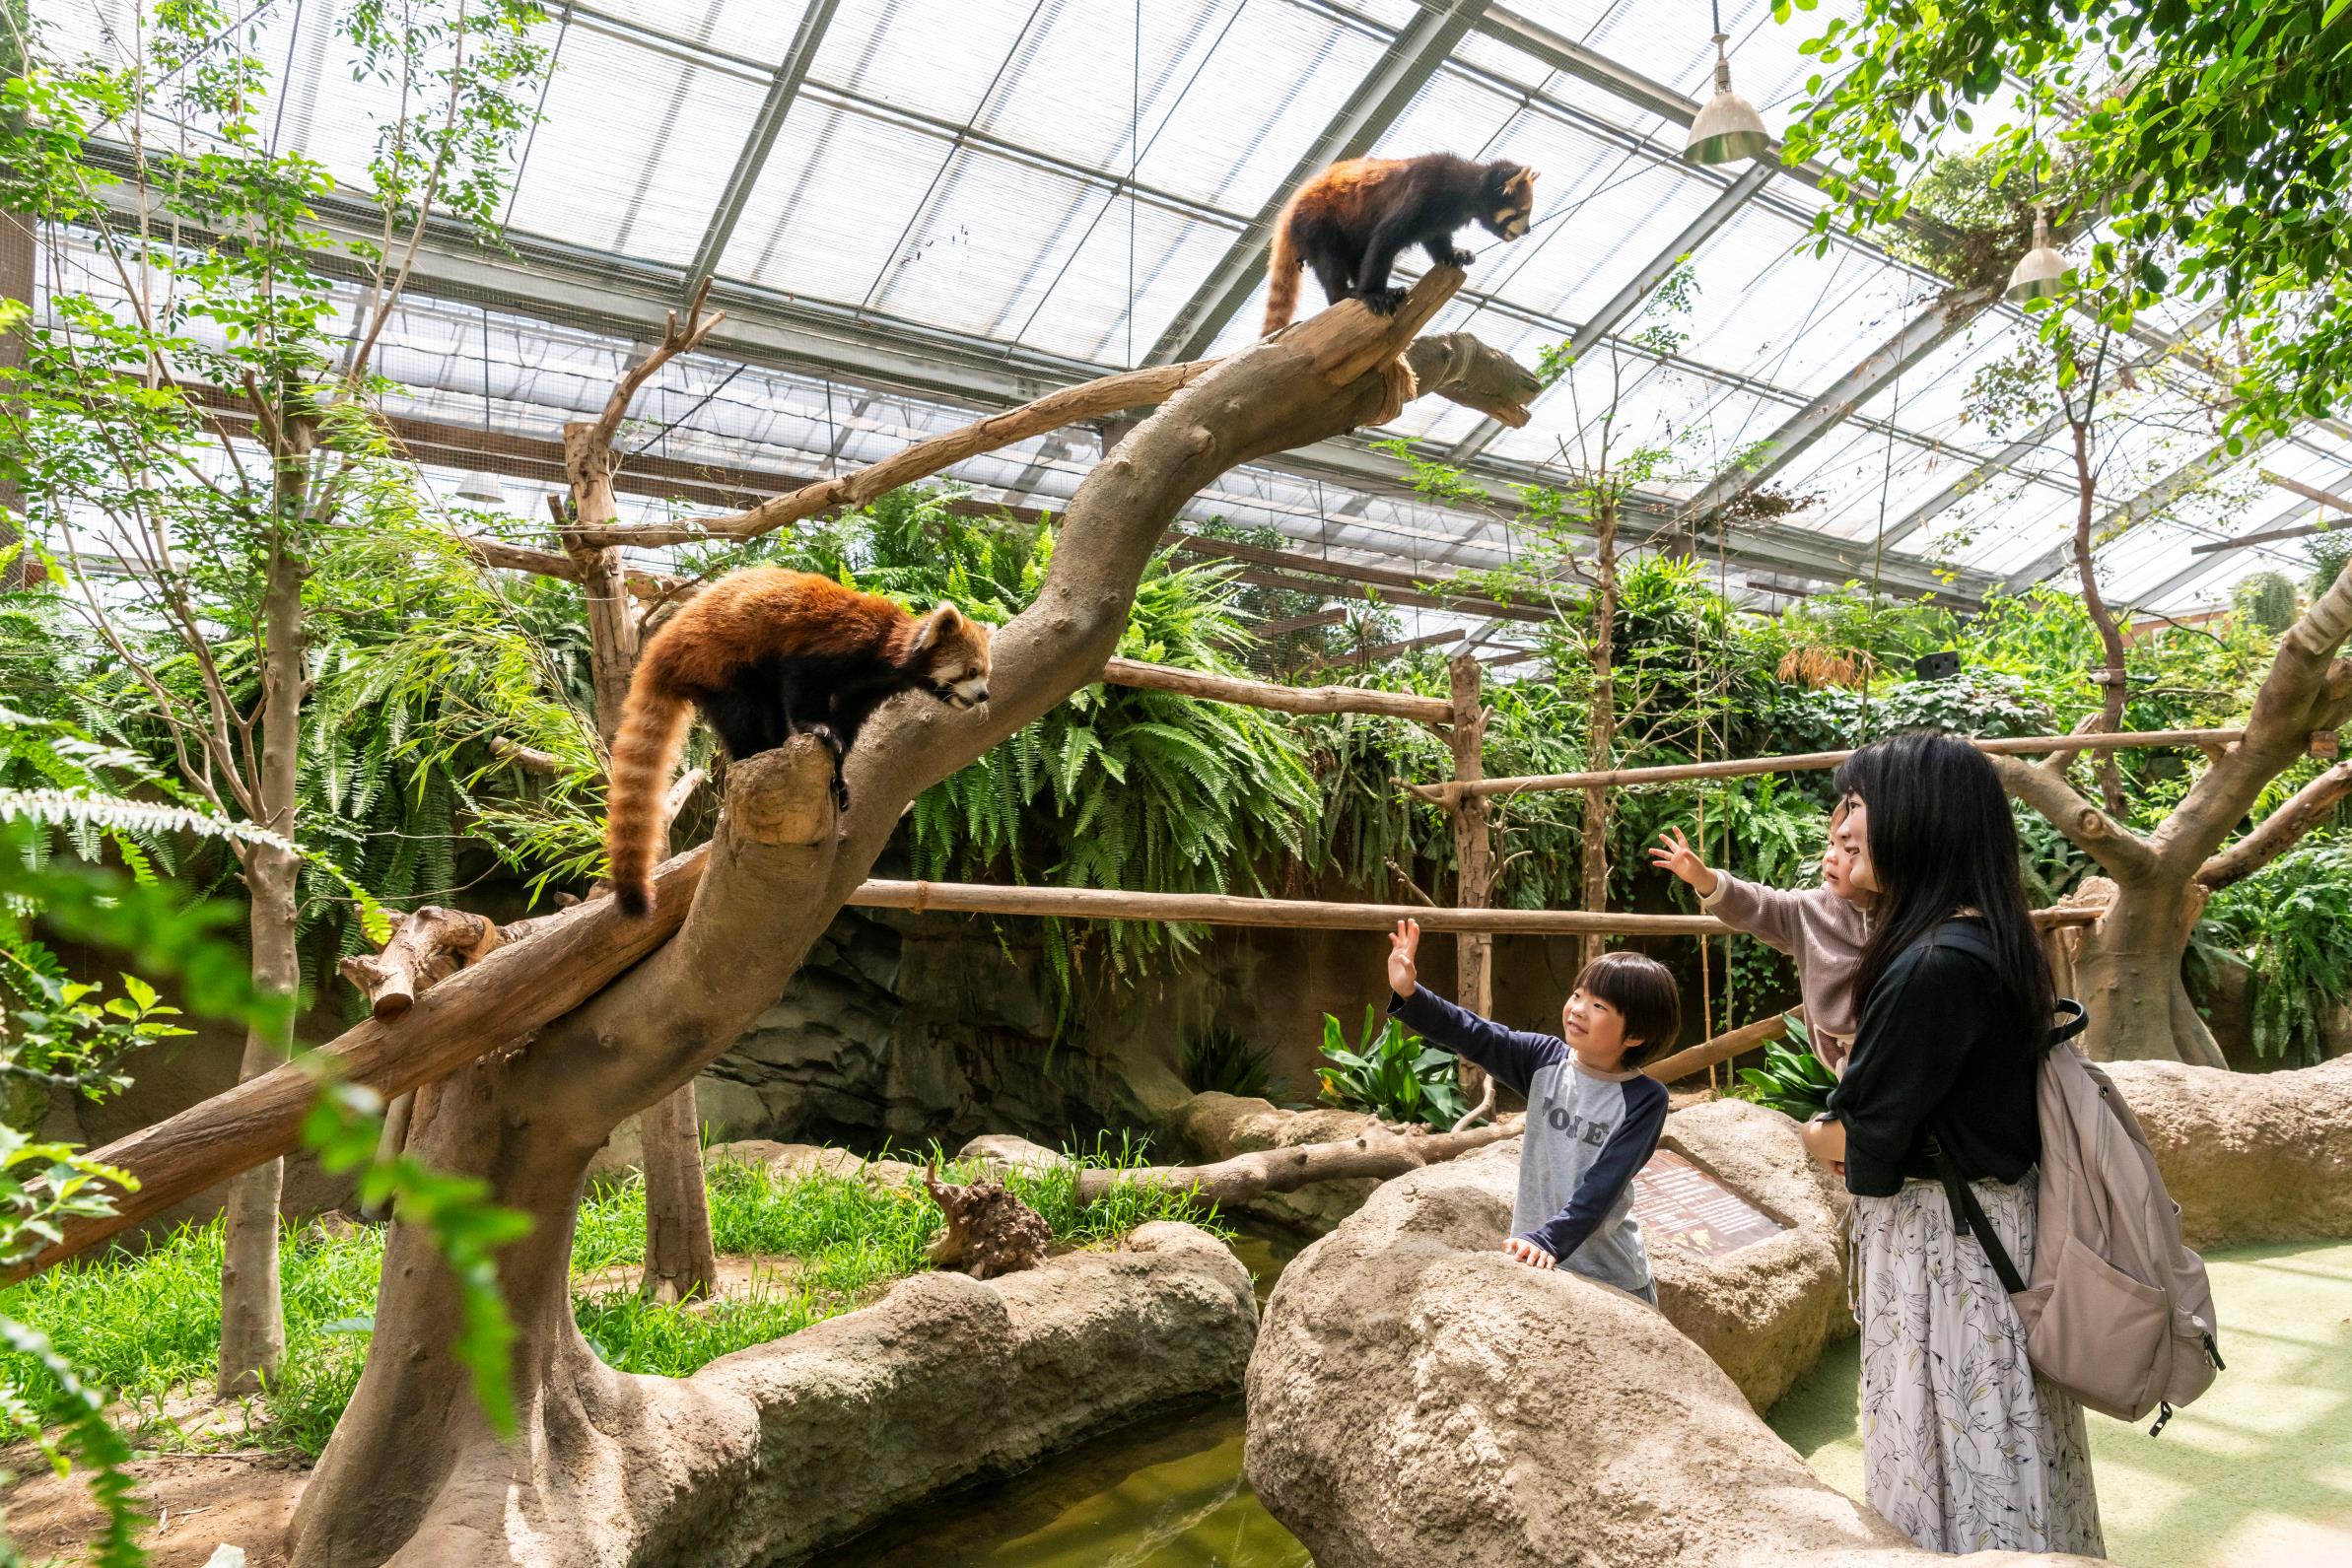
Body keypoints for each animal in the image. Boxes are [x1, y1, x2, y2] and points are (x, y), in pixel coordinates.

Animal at [606, 566, 992, 921]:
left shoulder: (864, 692)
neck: (885, 655)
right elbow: (804, 683)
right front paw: (818, 728)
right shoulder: (829, 644)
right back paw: (755, 751)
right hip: (720, 661)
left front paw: (839, 779)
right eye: (972, 671)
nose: (984, 695)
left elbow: (847, 727)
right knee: (742, 714)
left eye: (986, 673)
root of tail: (662, 644)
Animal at [1270, 155, 1543, 336]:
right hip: (1318, 222)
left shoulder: (1436, 221)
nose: (1528, 229)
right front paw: (1373, 295)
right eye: (1523, 212)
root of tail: (1289, 208)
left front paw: (1454, 255)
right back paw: (1348, 294)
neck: (1463, 190)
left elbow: (1437, 241)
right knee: (1331, 263)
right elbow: (1384, 241)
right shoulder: (1420, 194)